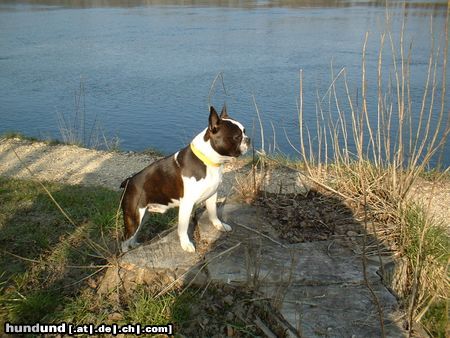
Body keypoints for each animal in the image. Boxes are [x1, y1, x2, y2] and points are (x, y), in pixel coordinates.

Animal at [120, 106, 250, 254]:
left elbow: (213, 213)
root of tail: (129, 181)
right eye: (237, 137)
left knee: (134, 236)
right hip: (134, 217)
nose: (248, 139)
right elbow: (183, 228)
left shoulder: (212, 195)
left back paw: (135, 246)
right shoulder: (187, 204)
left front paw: (219, 226)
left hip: (143, 216)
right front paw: (186, 244)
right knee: (125, 239)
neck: (209, 162)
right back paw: (126, 251)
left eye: (244, 132)